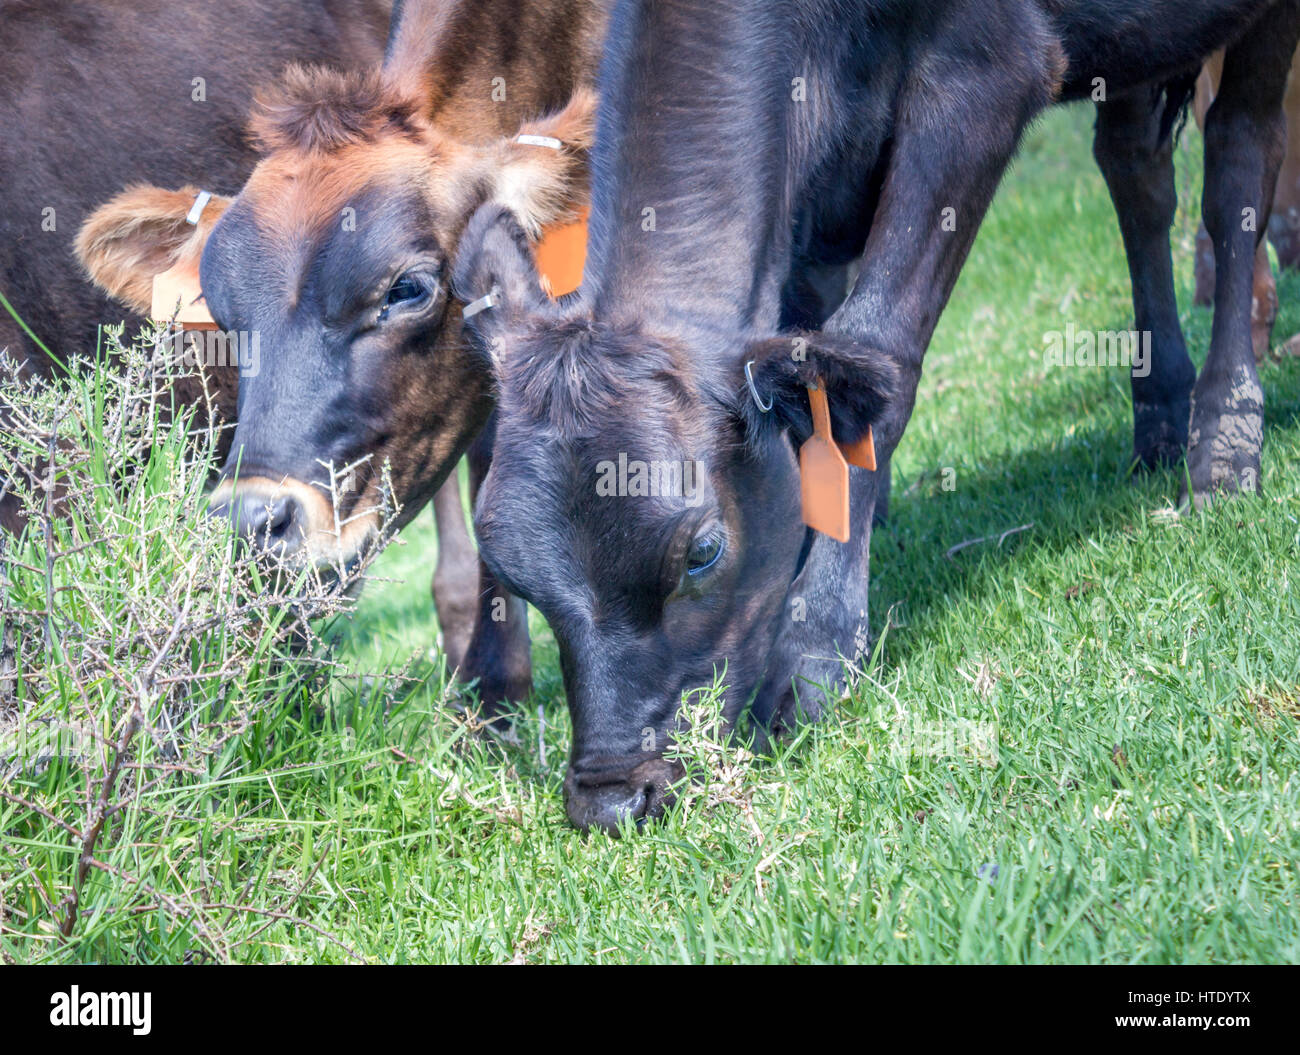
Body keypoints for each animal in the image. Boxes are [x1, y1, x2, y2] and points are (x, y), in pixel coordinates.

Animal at [452, 0, 1300, 832]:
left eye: (702, 551)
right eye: (516, 575)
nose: (612, 797)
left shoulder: (989, 71)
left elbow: (871, 345)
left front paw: (814, 649)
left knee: (1238, 159)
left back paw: (1224, 447)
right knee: (1136, 168)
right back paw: (1161, 419)